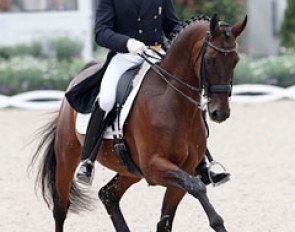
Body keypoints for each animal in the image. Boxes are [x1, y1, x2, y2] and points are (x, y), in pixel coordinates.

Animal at [30, 14, 247, 232]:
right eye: (209, 60)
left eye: (236, 61)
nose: (220, 113)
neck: (173, 102)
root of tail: (82, 74)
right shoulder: (154, 167)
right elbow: (198, 188)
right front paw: (217, 221)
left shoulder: (184, 168)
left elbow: (167, 219)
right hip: (67, 156)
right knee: (61, 208)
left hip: (129, 169)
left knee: (107, 195)